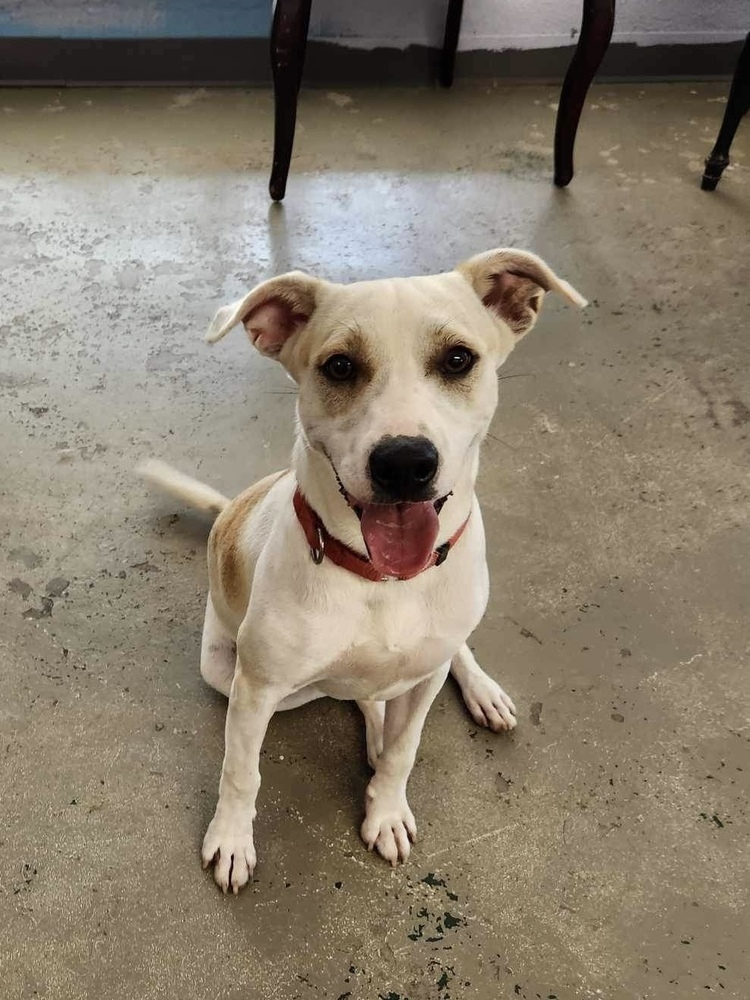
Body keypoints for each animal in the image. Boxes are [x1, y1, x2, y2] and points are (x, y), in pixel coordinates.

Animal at [141, 246, 588, 896]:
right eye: (340, 366)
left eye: (458, 359)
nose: (404, 462)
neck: (381, 581)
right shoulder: (255, 691)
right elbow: (241, 771)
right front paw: (231, 839)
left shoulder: (423, 680)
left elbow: (406, 749)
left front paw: (387, 810)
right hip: (228, 672)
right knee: (359, 695)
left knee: (441, 660)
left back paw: (480, 693)